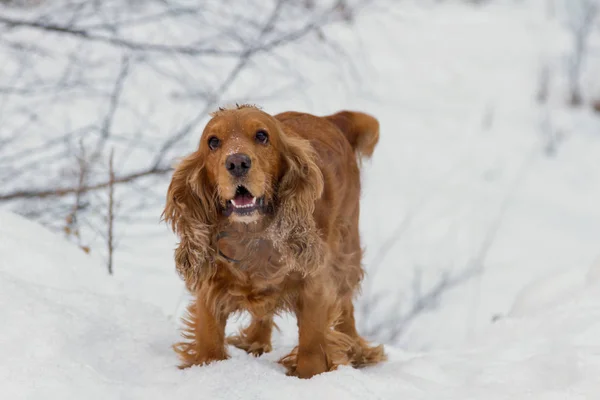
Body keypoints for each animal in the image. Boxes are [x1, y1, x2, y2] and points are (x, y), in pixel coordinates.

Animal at [164, 104, 386, 378]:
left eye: (262, 136)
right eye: (213, 142)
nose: (237, 162)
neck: (253, 234)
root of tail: (330, 119)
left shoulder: (315, 284)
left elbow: (312, 347)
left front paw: (309, 377)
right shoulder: (210, 285)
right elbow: (209, 340)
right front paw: (208, 367)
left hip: (346, 251)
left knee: (346, 308)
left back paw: (357, 352)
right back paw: (254, 343)